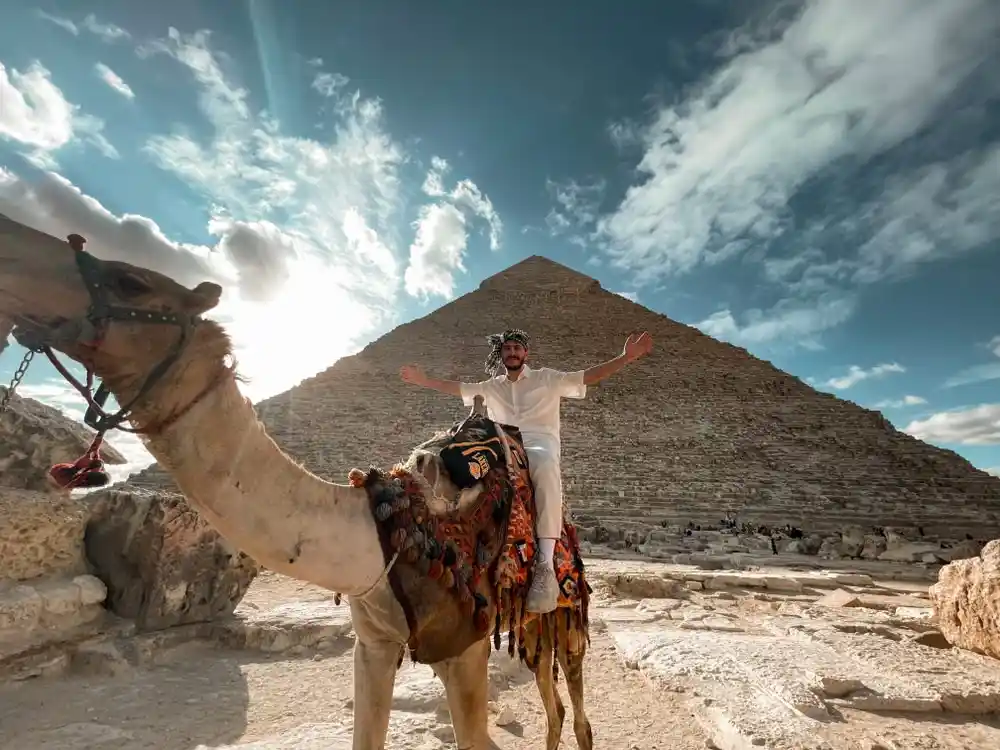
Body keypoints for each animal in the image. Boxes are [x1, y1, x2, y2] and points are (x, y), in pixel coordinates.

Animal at [0, 213, 591, 750]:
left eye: (130, 281)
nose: (15, 246)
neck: (386, 529)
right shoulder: (373, 644)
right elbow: (366, 738)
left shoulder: (464, 649)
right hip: (531, 631)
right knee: (556, 708)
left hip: (565, 618)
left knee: (577, 713)